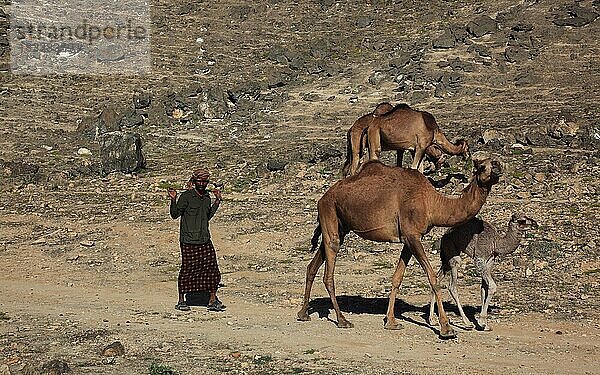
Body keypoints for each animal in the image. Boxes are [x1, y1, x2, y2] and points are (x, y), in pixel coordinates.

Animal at [298, 157, 502, 340]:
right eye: (482, 166)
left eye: (495, 161)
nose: (498, 167)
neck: (432, 203)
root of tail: (322, 198)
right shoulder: (412, 235)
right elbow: (433, 278)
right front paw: (446, 328)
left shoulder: (409, 239)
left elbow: (397, 278)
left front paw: (391, 322)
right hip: (329, 213)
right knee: (328, 272)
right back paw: (342, 320)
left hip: (340, 226)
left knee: (312, 265)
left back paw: (303, 313)